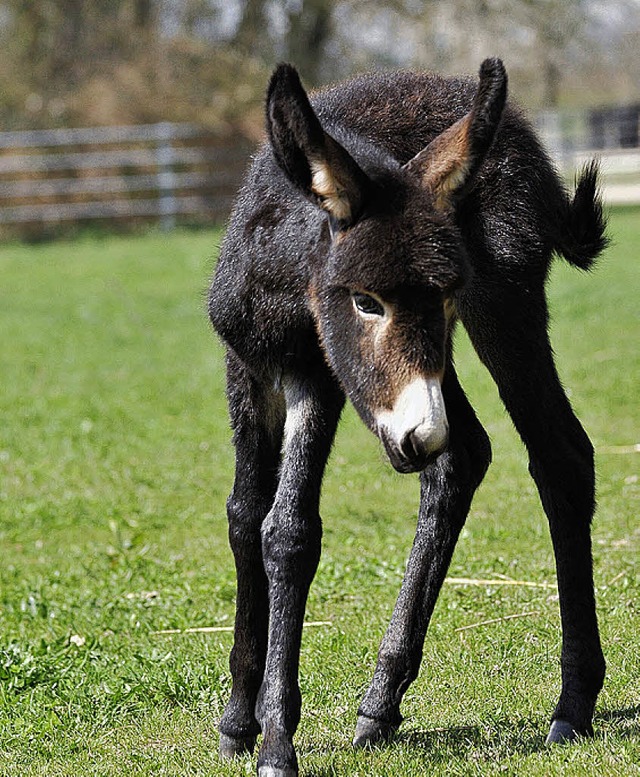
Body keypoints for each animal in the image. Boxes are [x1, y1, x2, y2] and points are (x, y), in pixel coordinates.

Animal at [210, 57, 608, 772]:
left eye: (445, 295)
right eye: (365, 301)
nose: (420, 434)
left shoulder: (320, 377)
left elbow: (290, 532)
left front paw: (276, 740)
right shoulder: (248, 367)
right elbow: (244, 516)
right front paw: (238, 722)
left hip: (502, 306)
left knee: (558, 455)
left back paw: (571, 706)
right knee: (465, 456)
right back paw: (380, 703)